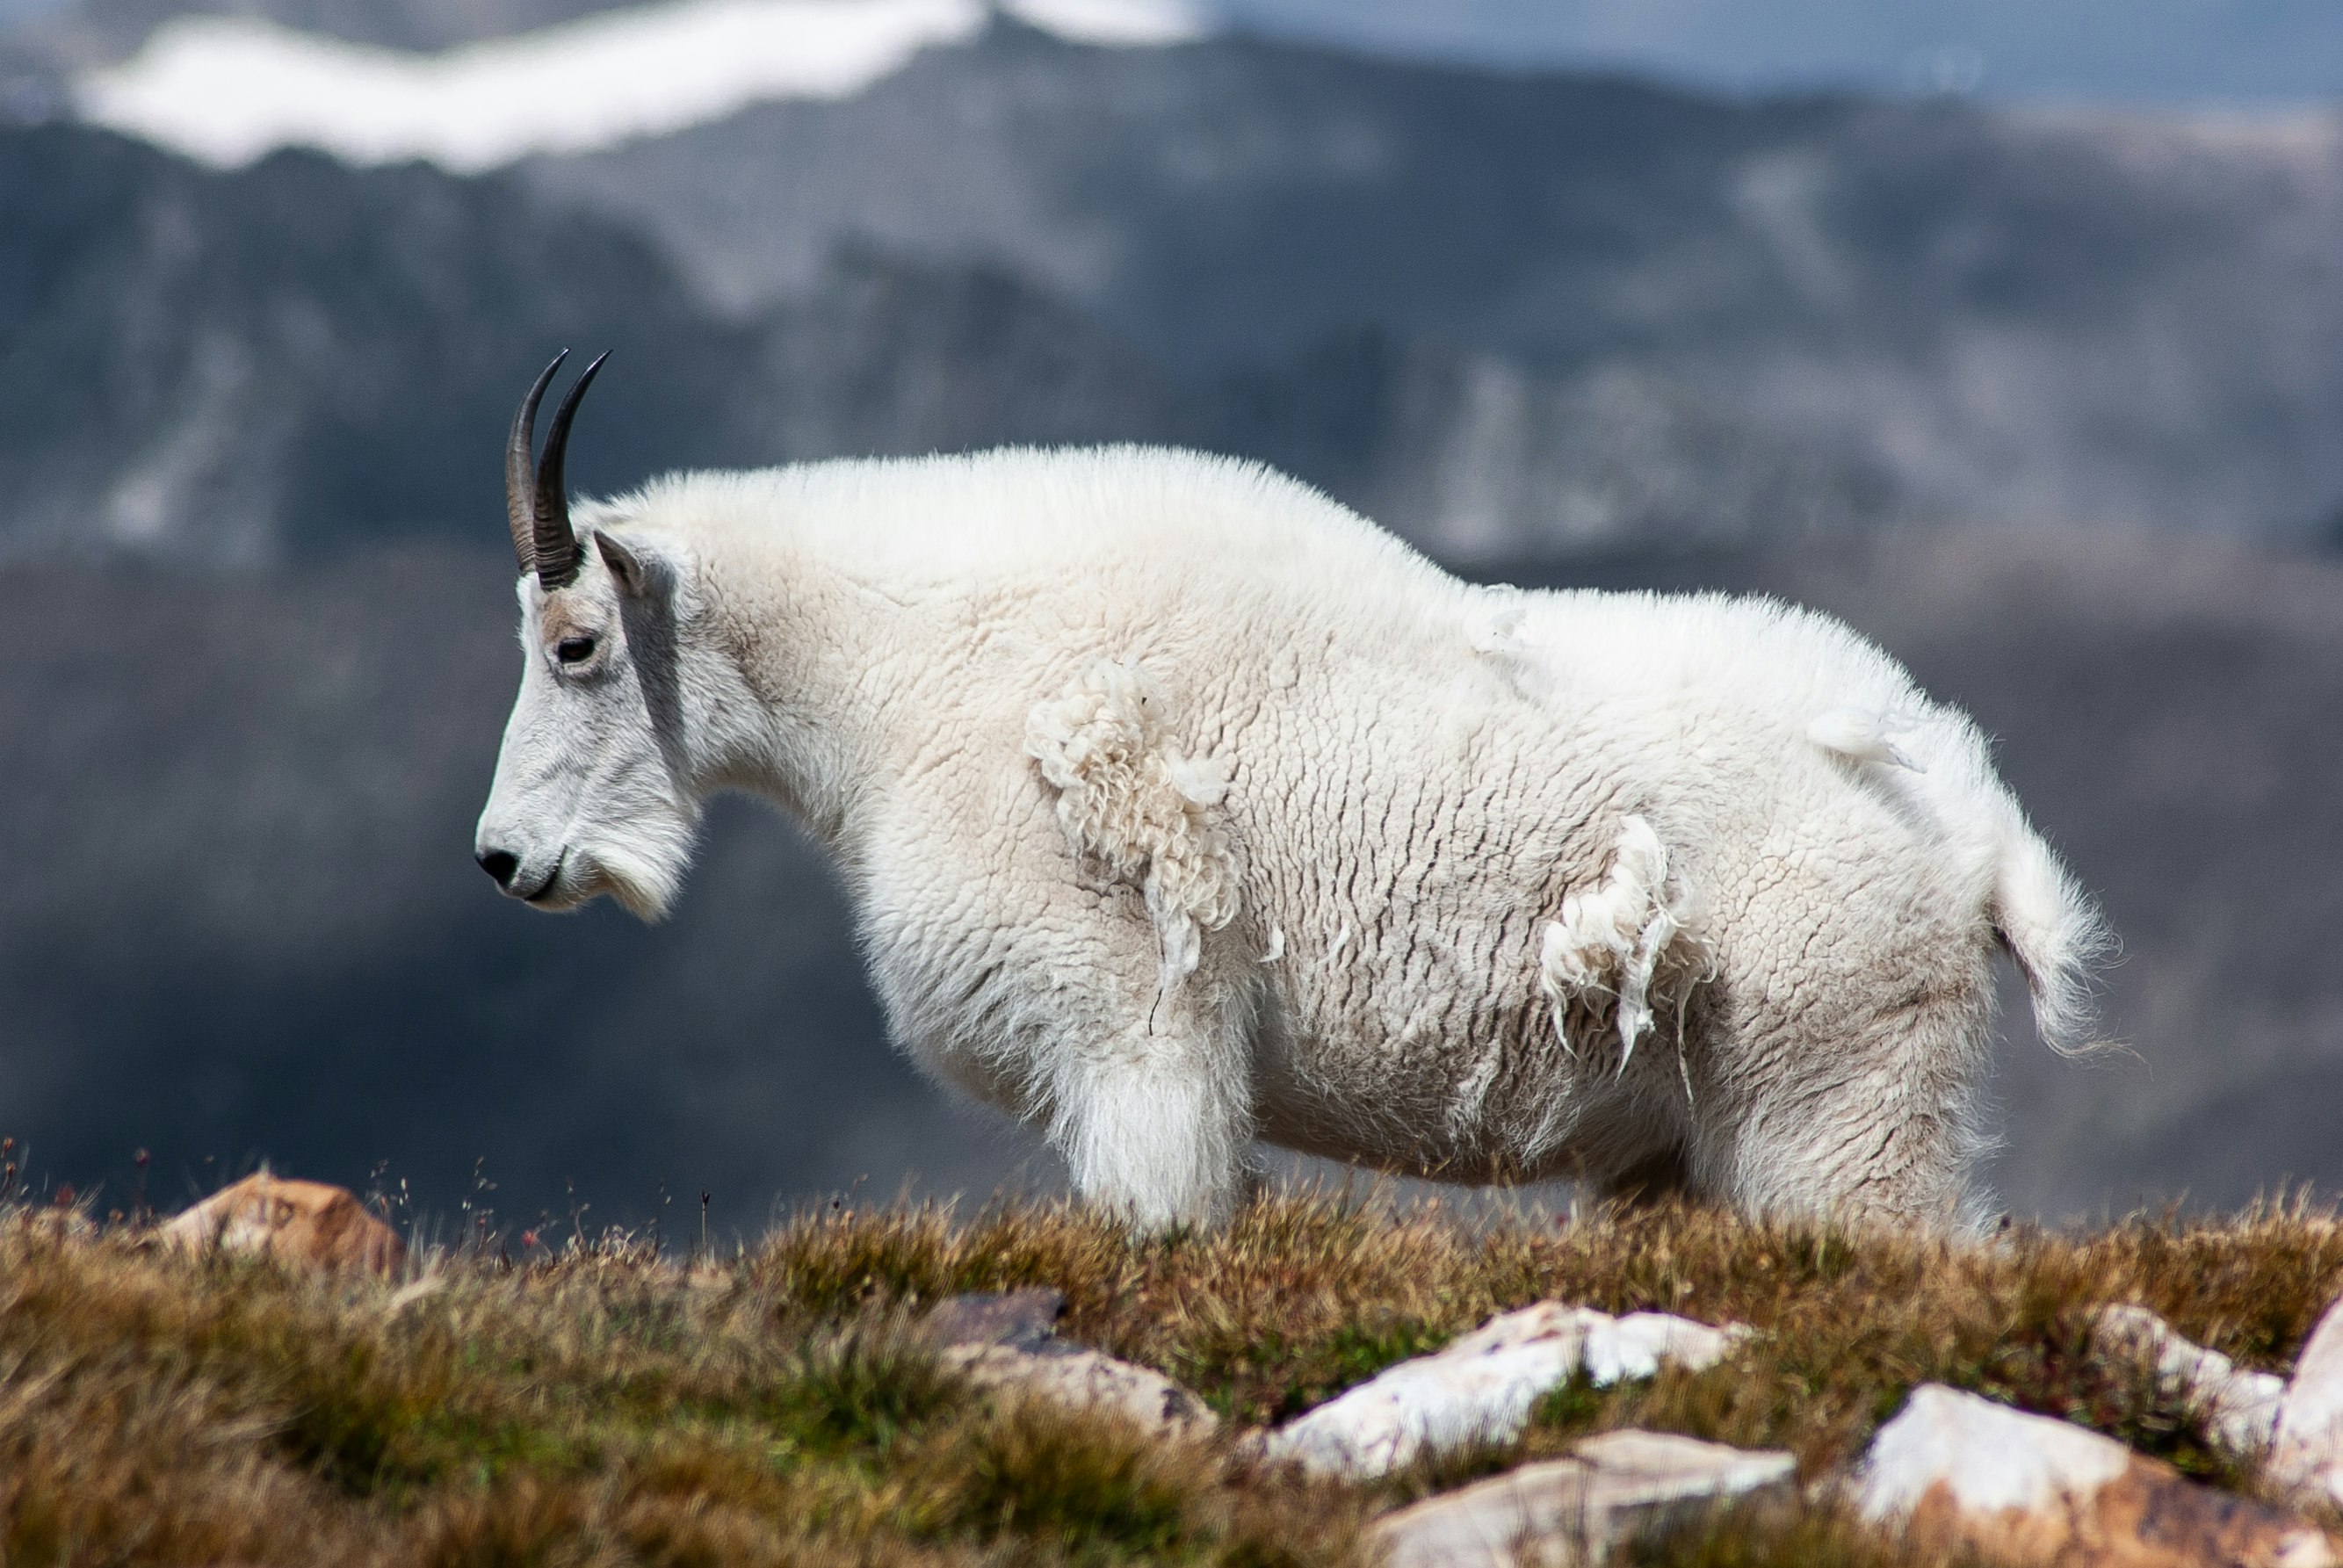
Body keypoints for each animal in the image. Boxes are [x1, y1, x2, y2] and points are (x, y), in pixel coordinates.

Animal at [471, 351, 2108, 1218]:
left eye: (572, 643)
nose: (503, 861)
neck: (903, 676)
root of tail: (1976, 836)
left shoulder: (1131, 1033)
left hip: (1835, 1104)